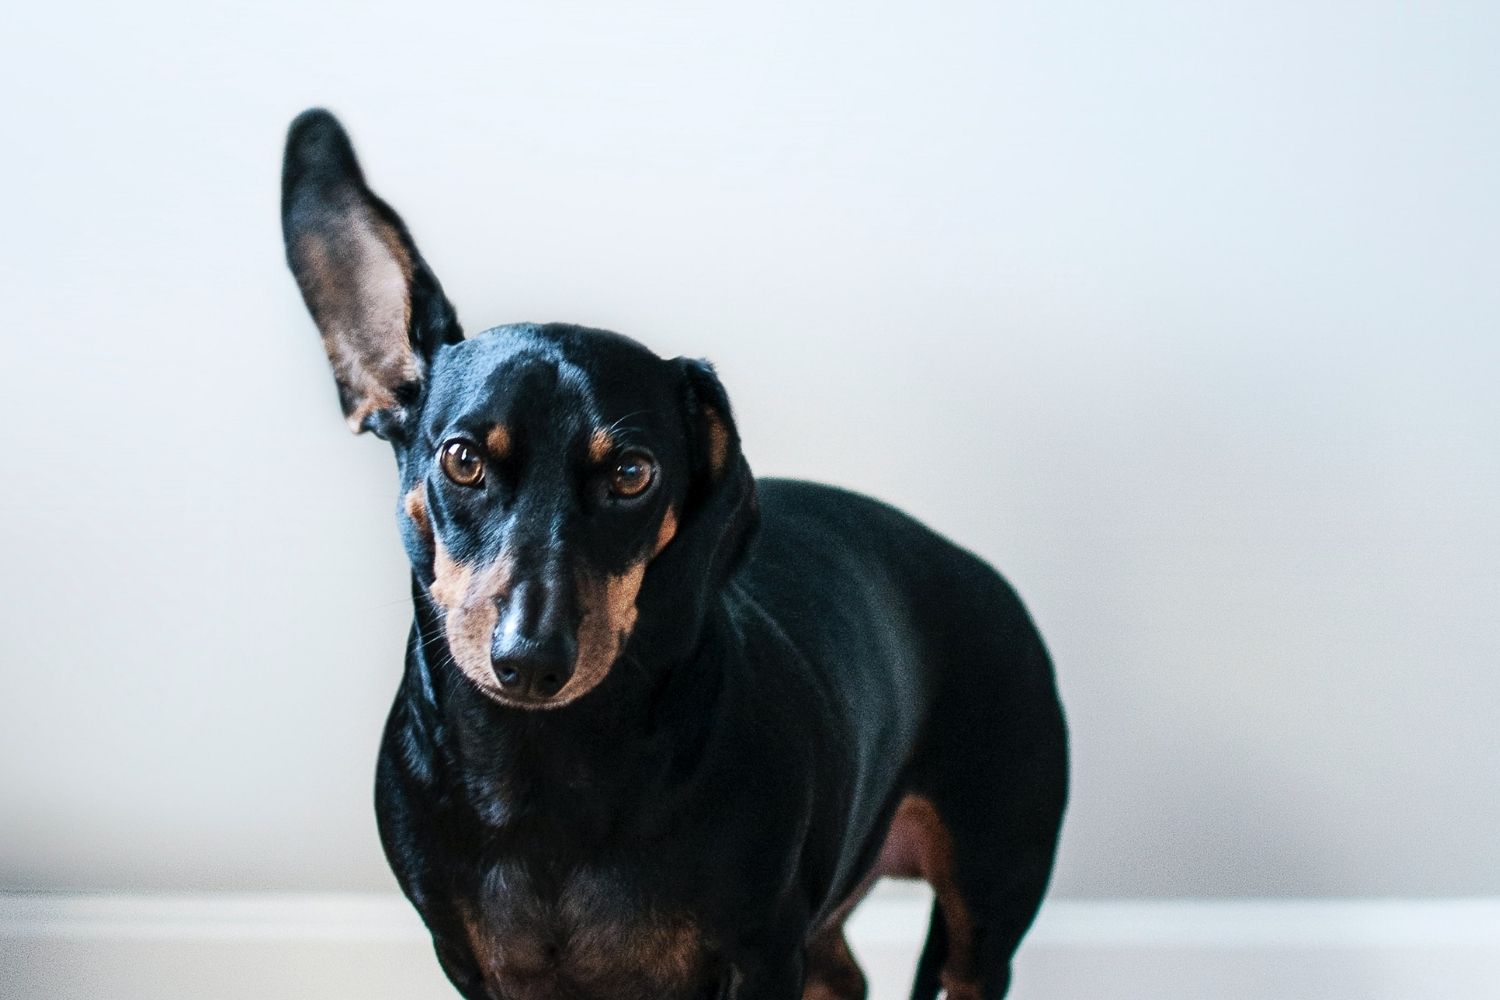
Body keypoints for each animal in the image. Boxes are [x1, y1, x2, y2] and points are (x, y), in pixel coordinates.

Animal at [279, 109, 1068, 1000]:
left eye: (632, 473)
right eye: (462, 458)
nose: (530, 661)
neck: (546, 774)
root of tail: (976, 570)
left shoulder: (762, 954)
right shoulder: (471, 964)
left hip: (983, 907)